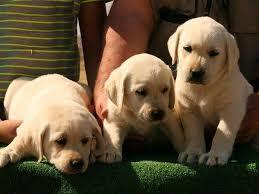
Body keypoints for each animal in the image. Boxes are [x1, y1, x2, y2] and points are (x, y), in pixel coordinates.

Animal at [168, 16, 255, 166]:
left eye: (214, 53)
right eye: (187, 48)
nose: (196, 72)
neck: (205, 88)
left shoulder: (231, 108)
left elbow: (223, 132)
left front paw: (215, 155)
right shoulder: (189, 109)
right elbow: (193, 132)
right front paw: (193, 152)